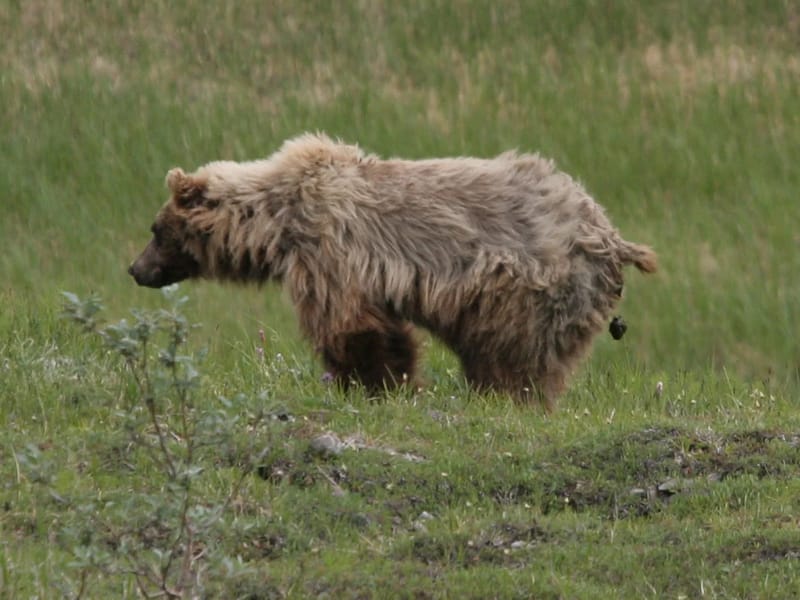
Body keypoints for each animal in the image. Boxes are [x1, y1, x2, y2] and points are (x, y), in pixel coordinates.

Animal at [129, 133, 657, 410]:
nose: (136, 269)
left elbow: (350, 326)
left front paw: (372, 383)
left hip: (530, 285)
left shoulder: (330, 249)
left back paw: (504, 395)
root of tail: (608, 234)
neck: (277, 221)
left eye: (156, 229)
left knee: (512, 352)